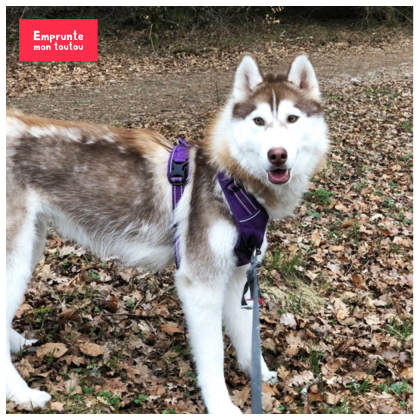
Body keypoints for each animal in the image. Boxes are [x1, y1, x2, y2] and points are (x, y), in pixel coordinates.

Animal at [5, 55, 328, 414]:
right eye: (258, 121)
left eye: (292, 118)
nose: (277, 154)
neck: (234, 182)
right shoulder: (200, 284)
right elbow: (213, 356)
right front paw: (221, 406)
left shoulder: (238, 273)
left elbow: (247, 336)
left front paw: (260, 375)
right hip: (15, 259)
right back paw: (22, 394)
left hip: (31, 248)